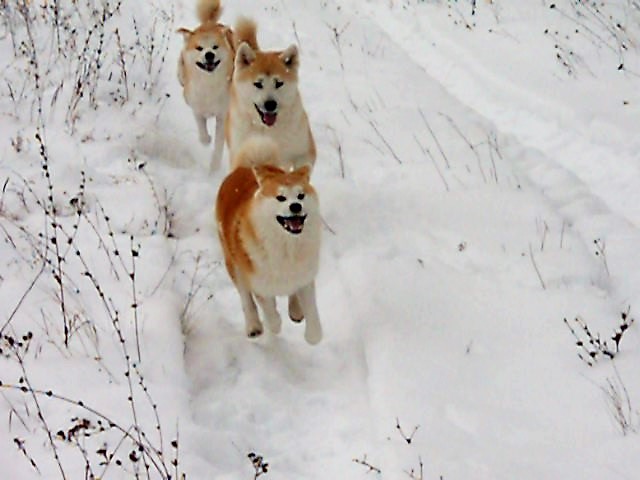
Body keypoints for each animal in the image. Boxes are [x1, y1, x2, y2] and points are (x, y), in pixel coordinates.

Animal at [177, 0, 234, 171]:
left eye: (215, 47)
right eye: (199, 48)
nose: (209, 54)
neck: (209, 85)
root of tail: (210, 23)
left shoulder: (222, 114)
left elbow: (219, 144)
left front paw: (214, 167)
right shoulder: (197, 107)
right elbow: (201, 128)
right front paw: (206, 139)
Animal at [215, 136, 322, 344]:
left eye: (301, 195)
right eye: (280, 197)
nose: (296, 206)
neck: (287, 245)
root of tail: (244, 168)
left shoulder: (305, 276)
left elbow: (312, 315)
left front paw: (312, 332)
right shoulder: (258, 280)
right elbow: (268, 310)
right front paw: (273, 323)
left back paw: (295, 311)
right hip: (233, 263)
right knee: (246, 299)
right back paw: (254, 326)